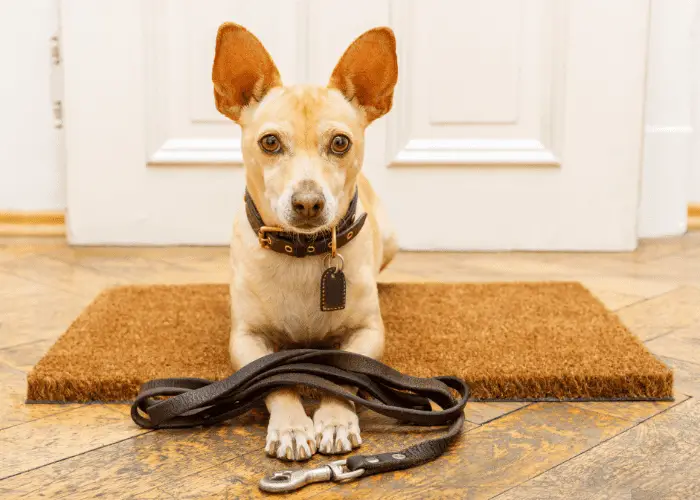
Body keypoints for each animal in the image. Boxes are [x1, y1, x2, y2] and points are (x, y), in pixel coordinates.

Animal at [212, 23, 400, 460]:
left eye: (340, 143)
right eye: (269, 142)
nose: (309, 202)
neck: (302, 253)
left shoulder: (367, 333)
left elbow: (345, 374)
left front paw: (334, 419)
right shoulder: (246, 339)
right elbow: (276, 377)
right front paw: (292, 427)